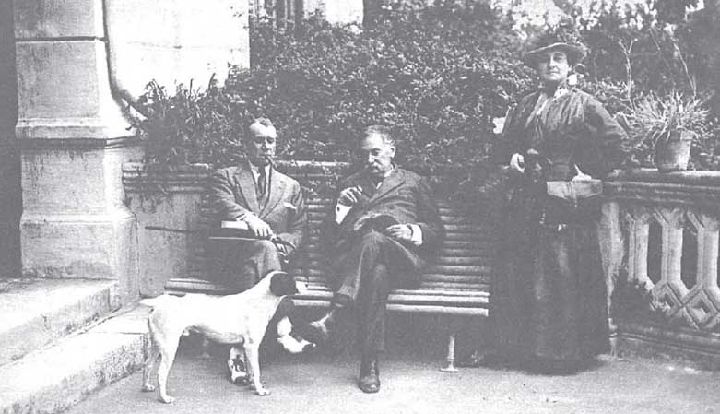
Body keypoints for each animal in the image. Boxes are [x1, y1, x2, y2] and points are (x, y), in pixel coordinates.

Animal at [140, 270, 312, 403]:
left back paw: (146, 387)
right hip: (169, 347)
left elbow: (251, 371)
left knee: (147, 365)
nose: (307, 284)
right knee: (161, 373)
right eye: (290, 279)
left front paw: (253, 385)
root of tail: (158, 304)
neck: (260, 301)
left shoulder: (246, 347)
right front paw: (260, 390)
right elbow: (256, 370)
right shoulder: (251, 346)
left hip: (156, 346)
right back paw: (164, 398)